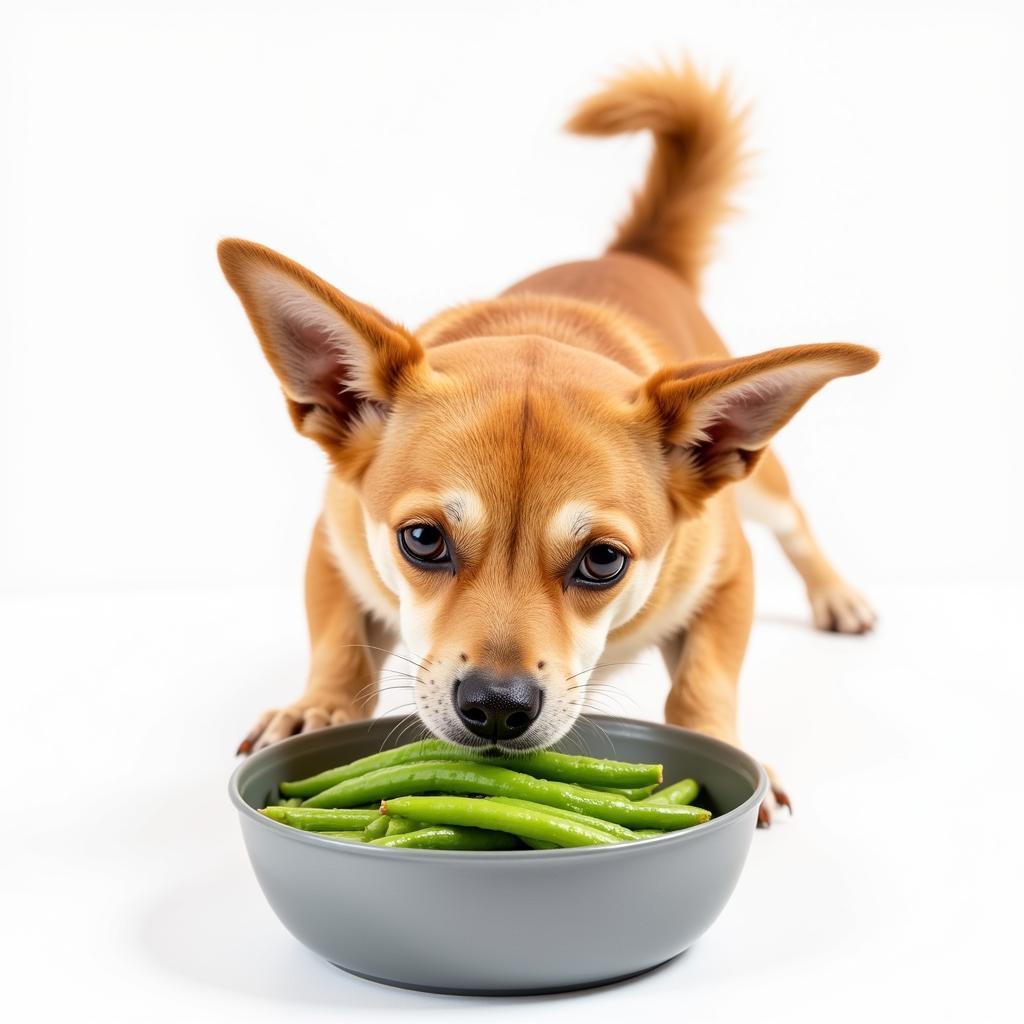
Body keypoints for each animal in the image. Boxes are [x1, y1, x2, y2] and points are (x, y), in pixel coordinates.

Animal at [220, 64, 876, 819]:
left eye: (603, 560)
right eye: (422, 540)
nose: (498, 706)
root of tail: (636, 255)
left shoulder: (726, 569)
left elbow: (704, 679)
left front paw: (725, 747)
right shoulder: (336, 542)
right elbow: (338, 644)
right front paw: (321, 707)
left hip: (757, 484)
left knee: (793, 519)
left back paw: (837, 595)